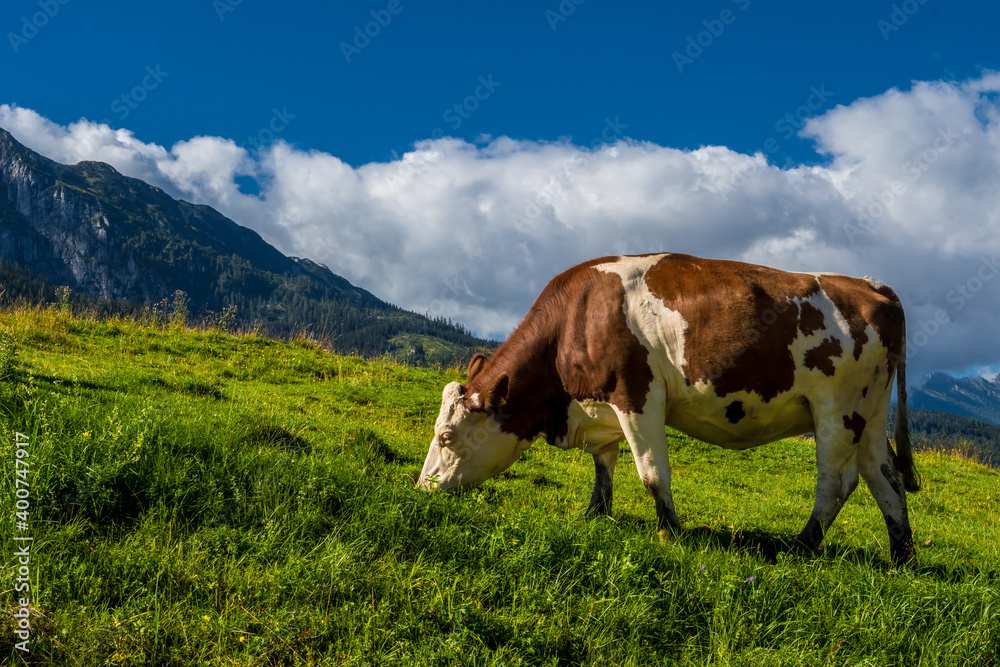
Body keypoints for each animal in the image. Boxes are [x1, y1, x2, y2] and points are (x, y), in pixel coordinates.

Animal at [416, 254, 920, 564]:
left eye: (445, 436)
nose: (421, 488)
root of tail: (868, 284)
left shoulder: (636, 396)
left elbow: (652, 471)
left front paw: (670, 533)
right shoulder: (601, 406)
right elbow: (604, 466)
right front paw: (596, 515)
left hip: (838, 408)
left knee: (836, 482)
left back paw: (800, 547)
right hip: (872, 411)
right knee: (886, 477)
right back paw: (902, 557)